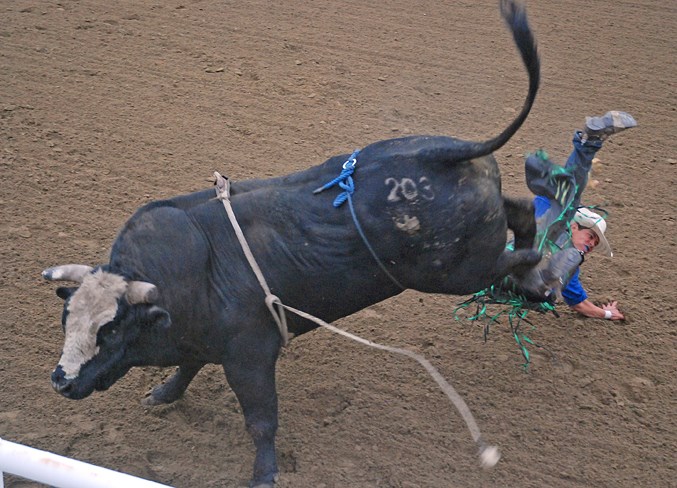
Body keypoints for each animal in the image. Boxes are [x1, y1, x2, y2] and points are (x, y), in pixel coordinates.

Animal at [42, 1, 540, 486]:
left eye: (110, 331)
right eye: (67, 319)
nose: (61, 381)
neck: (191, 274)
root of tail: (443, 152)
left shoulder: (250, 355)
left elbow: (261, 420)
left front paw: (264, 473)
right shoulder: (202, 341)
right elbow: (187, 367)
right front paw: (164, 393)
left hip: (458, 273)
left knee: (521, 257)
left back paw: (537, 286)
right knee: (523, 213)